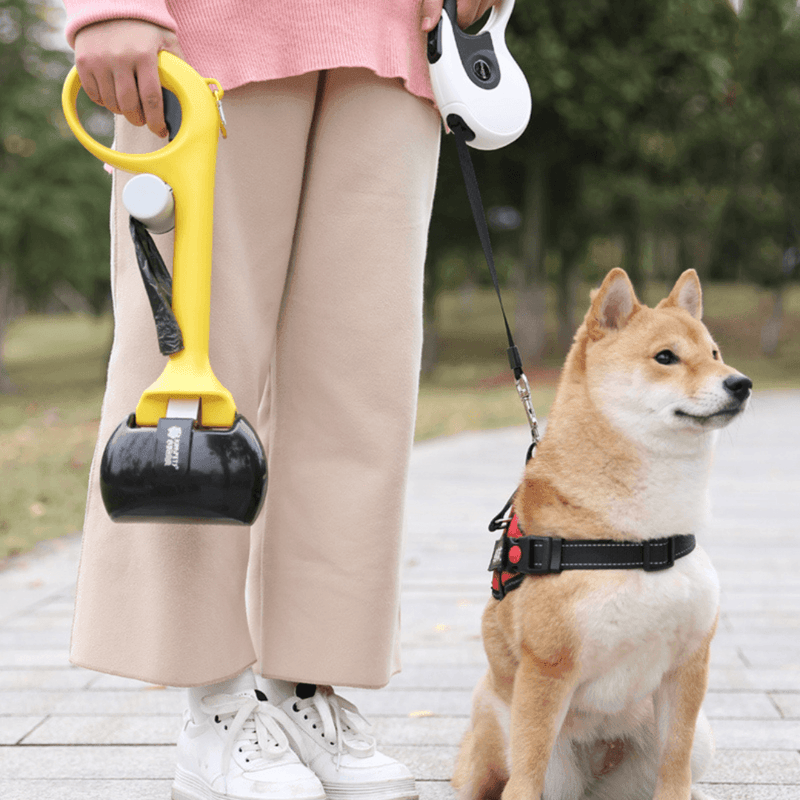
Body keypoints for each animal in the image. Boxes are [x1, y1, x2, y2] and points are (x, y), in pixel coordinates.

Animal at [454, 270, 752, 800]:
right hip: (496, 726)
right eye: (666, 357)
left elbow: (674, 764)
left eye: (715, 353)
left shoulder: (689, 665)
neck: (644, 540)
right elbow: (526, 775)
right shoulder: (547, 667)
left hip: (700, 739)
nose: (741, 383)